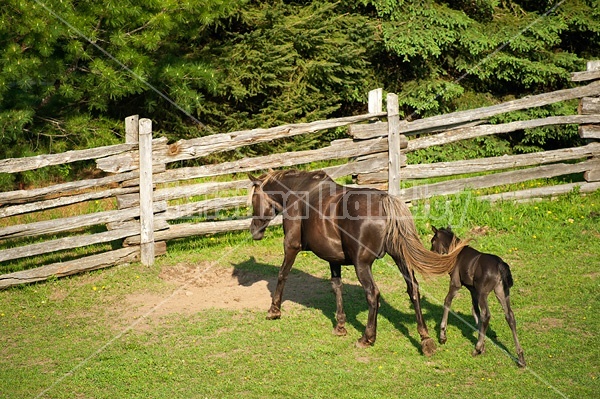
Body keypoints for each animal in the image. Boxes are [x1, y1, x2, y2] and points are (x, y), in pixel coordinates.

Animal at [432, 227, 524, 368]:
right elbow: (475, 312)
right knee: (509, 316)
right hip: (502, 292)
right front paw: (483, 346)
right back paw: (521, 358)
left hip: (483, 293)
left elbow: (447, 301)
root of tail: (500, 265)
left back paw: (476, 349)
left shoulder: (456, 284)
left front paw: (443, 336)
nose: (432, 253)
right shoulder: (473, 290)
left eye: (433, 241)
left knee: (486, 315)